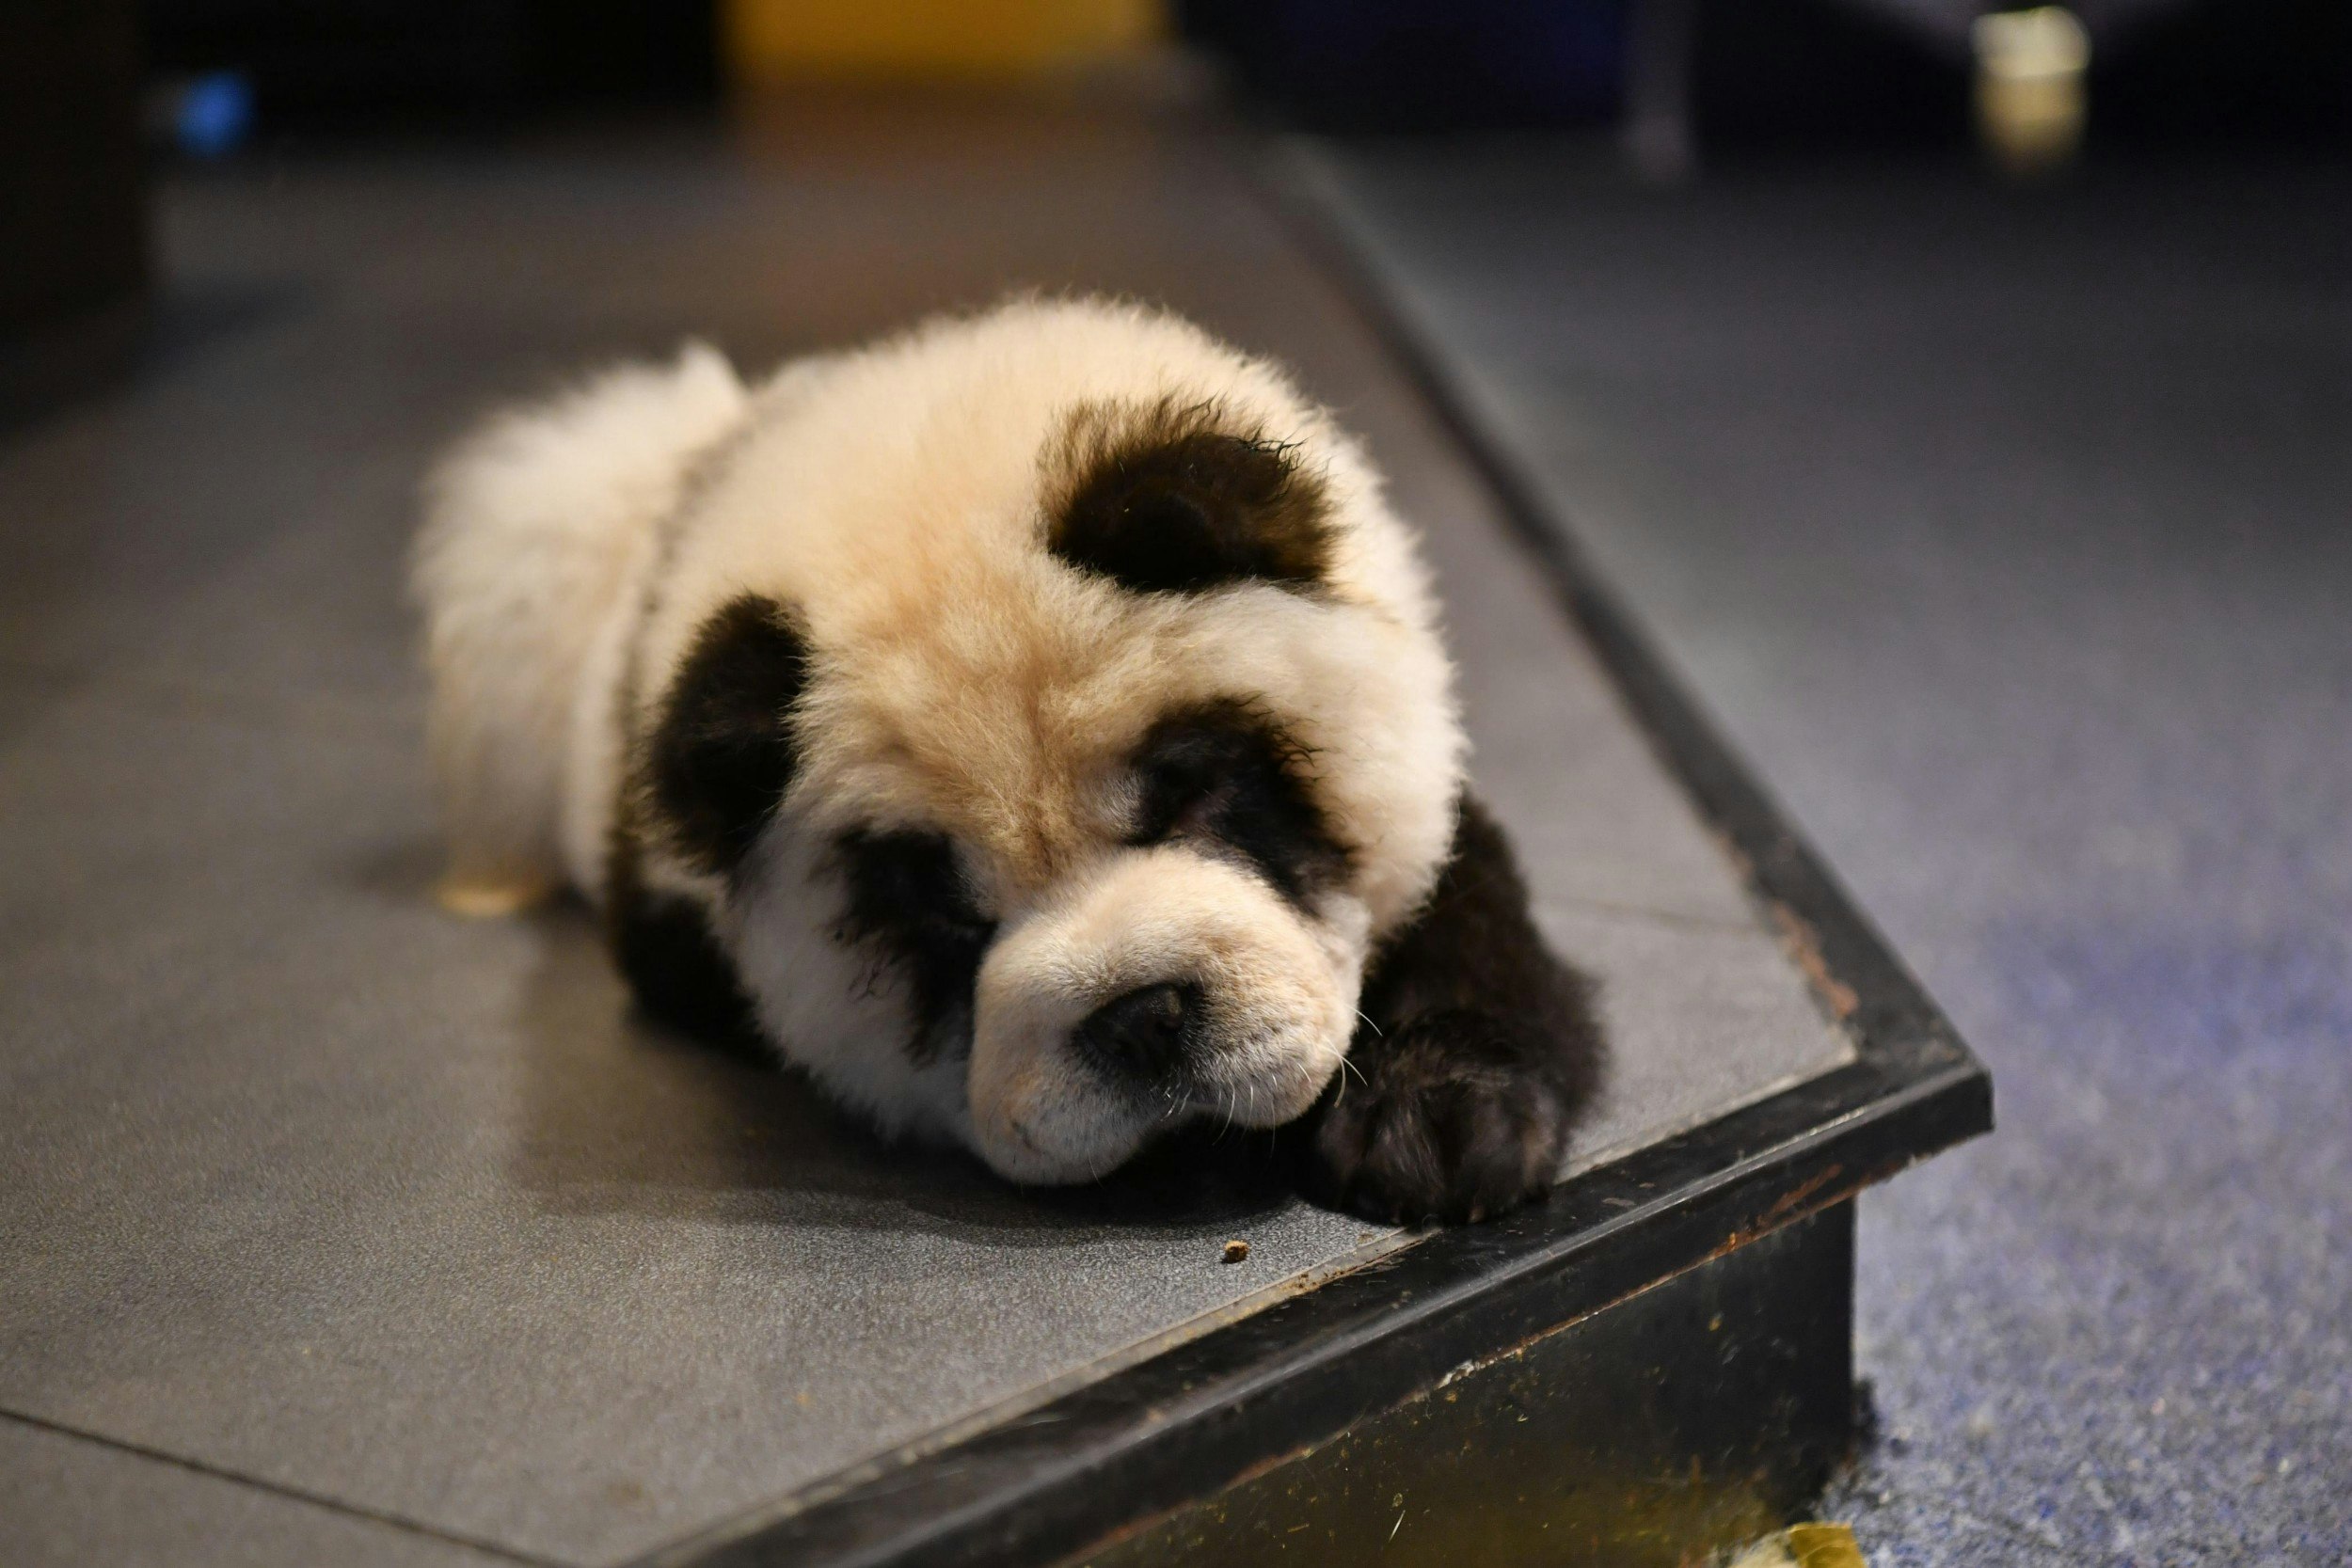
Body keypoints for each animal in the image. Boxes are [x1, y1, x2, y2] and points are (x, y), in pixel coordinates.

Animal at [414, 293, 1609, 1222]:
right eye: (942, 908)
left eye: (1194, 793)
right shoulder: (674, 910)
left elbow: (1461, 897)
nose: (1142, 1017)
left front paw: (1440, 1118)